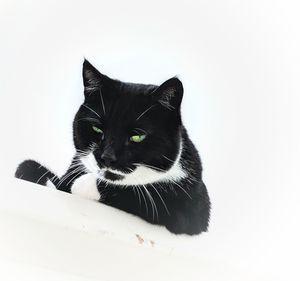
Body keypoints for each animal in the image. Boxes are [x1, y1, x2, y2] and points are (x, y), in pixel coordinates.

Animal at [14, 59, 211, 234]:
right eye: (97, 128)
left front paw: (81, 184)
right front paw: (30, 172)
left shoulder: (191, 206)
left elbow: (143, 194)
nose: (107, 157)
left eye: (137, 136)